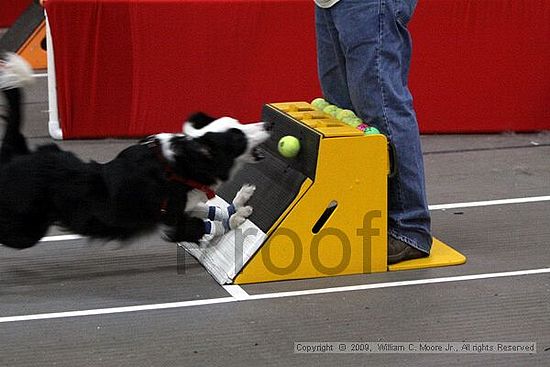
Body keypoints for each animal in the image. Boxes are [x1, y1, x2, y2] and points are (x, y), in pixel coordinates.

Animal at [0, 54, 272, 250]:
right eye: (238, 137)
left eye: (239, 123)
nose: (269, 124)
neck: (182, 164)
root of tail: (15, 157)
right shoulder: (170, 224)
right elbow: (207, 226)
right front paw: (236, 219)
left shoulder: (184, 203)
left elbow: (209, 210)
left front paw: (238, 205)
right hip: (24, 231)